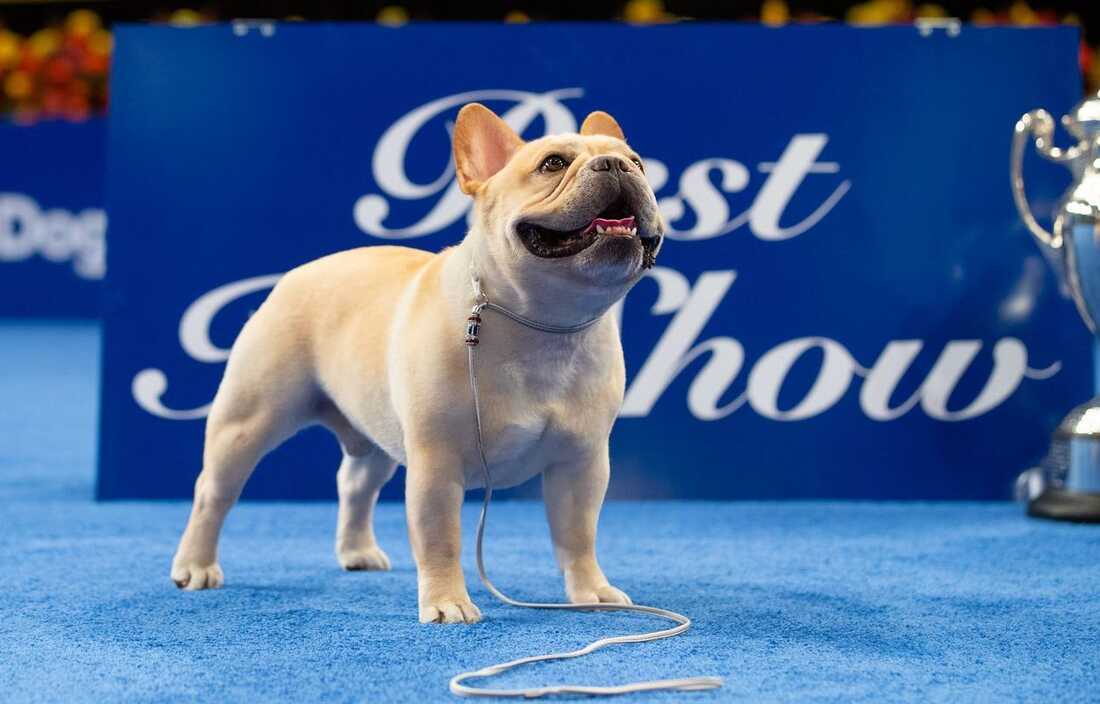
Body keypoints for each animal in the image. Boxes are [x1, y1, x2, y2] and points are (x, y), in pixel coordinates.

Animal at [171, 103, 664, 620]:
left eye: (638, 163)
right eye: (553, 164)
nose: (616, 166)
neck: (542, 324)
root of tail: (295, 274)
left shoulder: (581, 463)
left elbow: (577, 536)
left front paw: (591, 591)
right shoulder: (436, 463)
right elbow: (440, 538)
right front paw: (448, 602)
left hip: (376, 434)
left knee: (355, 483)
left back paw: (358, 552)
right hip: (248, 422)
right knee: (213, 494)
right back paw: (195, 566)